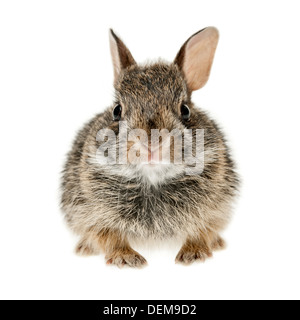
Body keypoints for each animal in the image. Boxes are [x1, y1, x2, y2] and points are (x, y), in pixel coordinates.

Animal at [60, 27, 239, 268]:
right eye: (117, 110)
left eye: (185, 110)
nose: (151, 143)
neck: (152, 178)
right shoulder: (93, 214)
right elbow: (109, 237)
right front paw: (127, 258)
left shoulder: (213, 211)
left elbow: (201, 232)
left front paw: (193, 254)